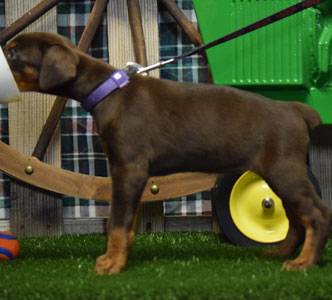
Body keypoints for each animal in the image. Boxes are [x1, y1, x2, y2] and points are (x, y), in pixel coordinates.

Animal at [3, 32, 332, 274]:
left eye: (13, 53)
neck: (106, 90)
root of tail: (295, 110)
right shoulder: (130, 175)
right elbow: (125, 224)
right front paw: (118, 259)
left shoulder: (128, 169)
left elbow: (117, 223)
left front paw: (112, 264)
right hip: (277, 174)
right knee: (296, 217)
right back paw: (281, 253)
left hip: (284, 171)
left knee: (317, 214)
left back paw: (304, 262)